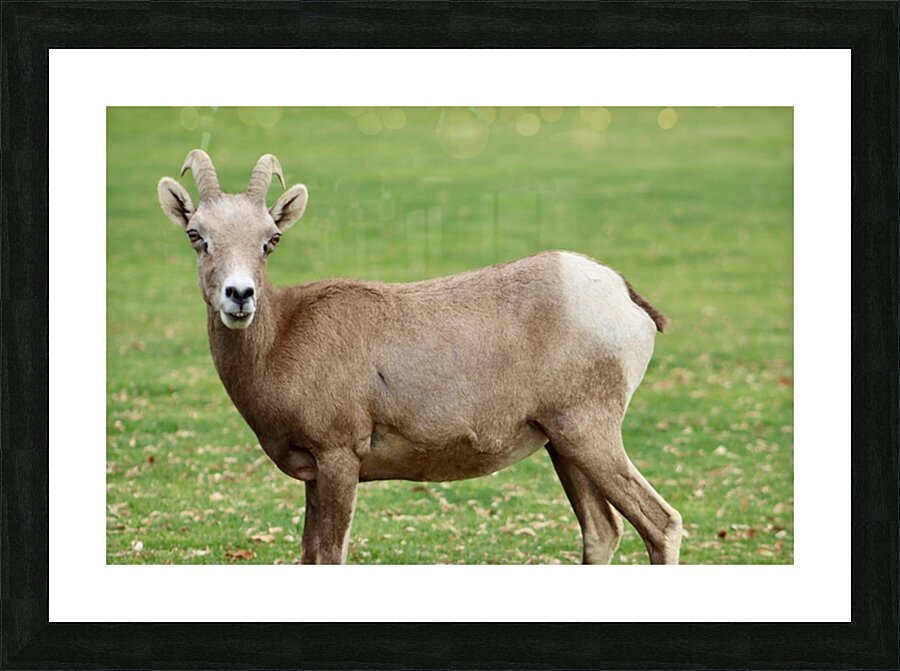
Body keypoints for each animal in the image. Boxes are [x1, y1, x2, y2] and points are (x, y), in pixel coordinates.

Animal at [157, 149, 683, 565]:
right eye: (196, 235)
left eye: (270, 240)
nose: (239, 296)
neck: (280, 340)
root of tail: (625, 296)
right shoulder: (315, 475)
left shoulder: (338, 459)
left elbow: (328, 556)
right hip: (564, 445)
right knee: (601, 532)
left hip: (589, 434)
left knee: (661, 524)